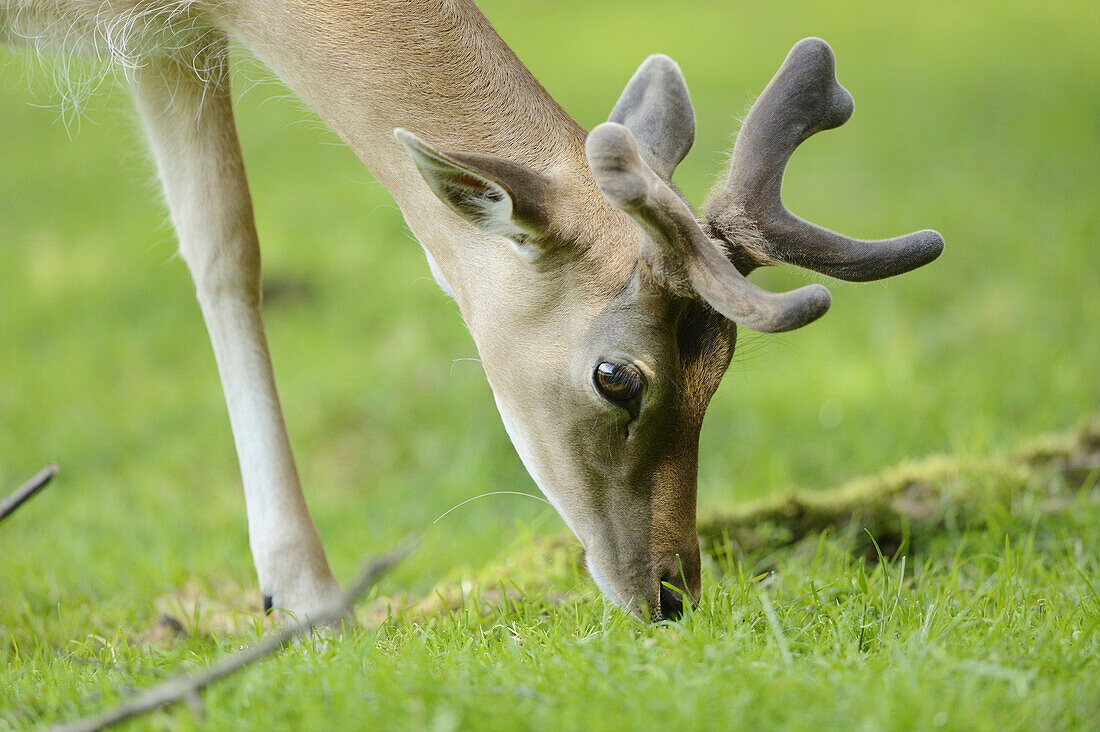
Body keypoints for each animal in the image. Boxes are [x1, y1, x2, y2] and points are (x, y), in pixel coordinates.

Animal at [4, 2, 941, 620]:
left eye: (721, 371)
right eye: (616, 377)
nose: (673, 592)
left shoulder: (171, 36)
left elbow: (223, 241)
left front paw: (300, 596)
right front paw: (309, 598)